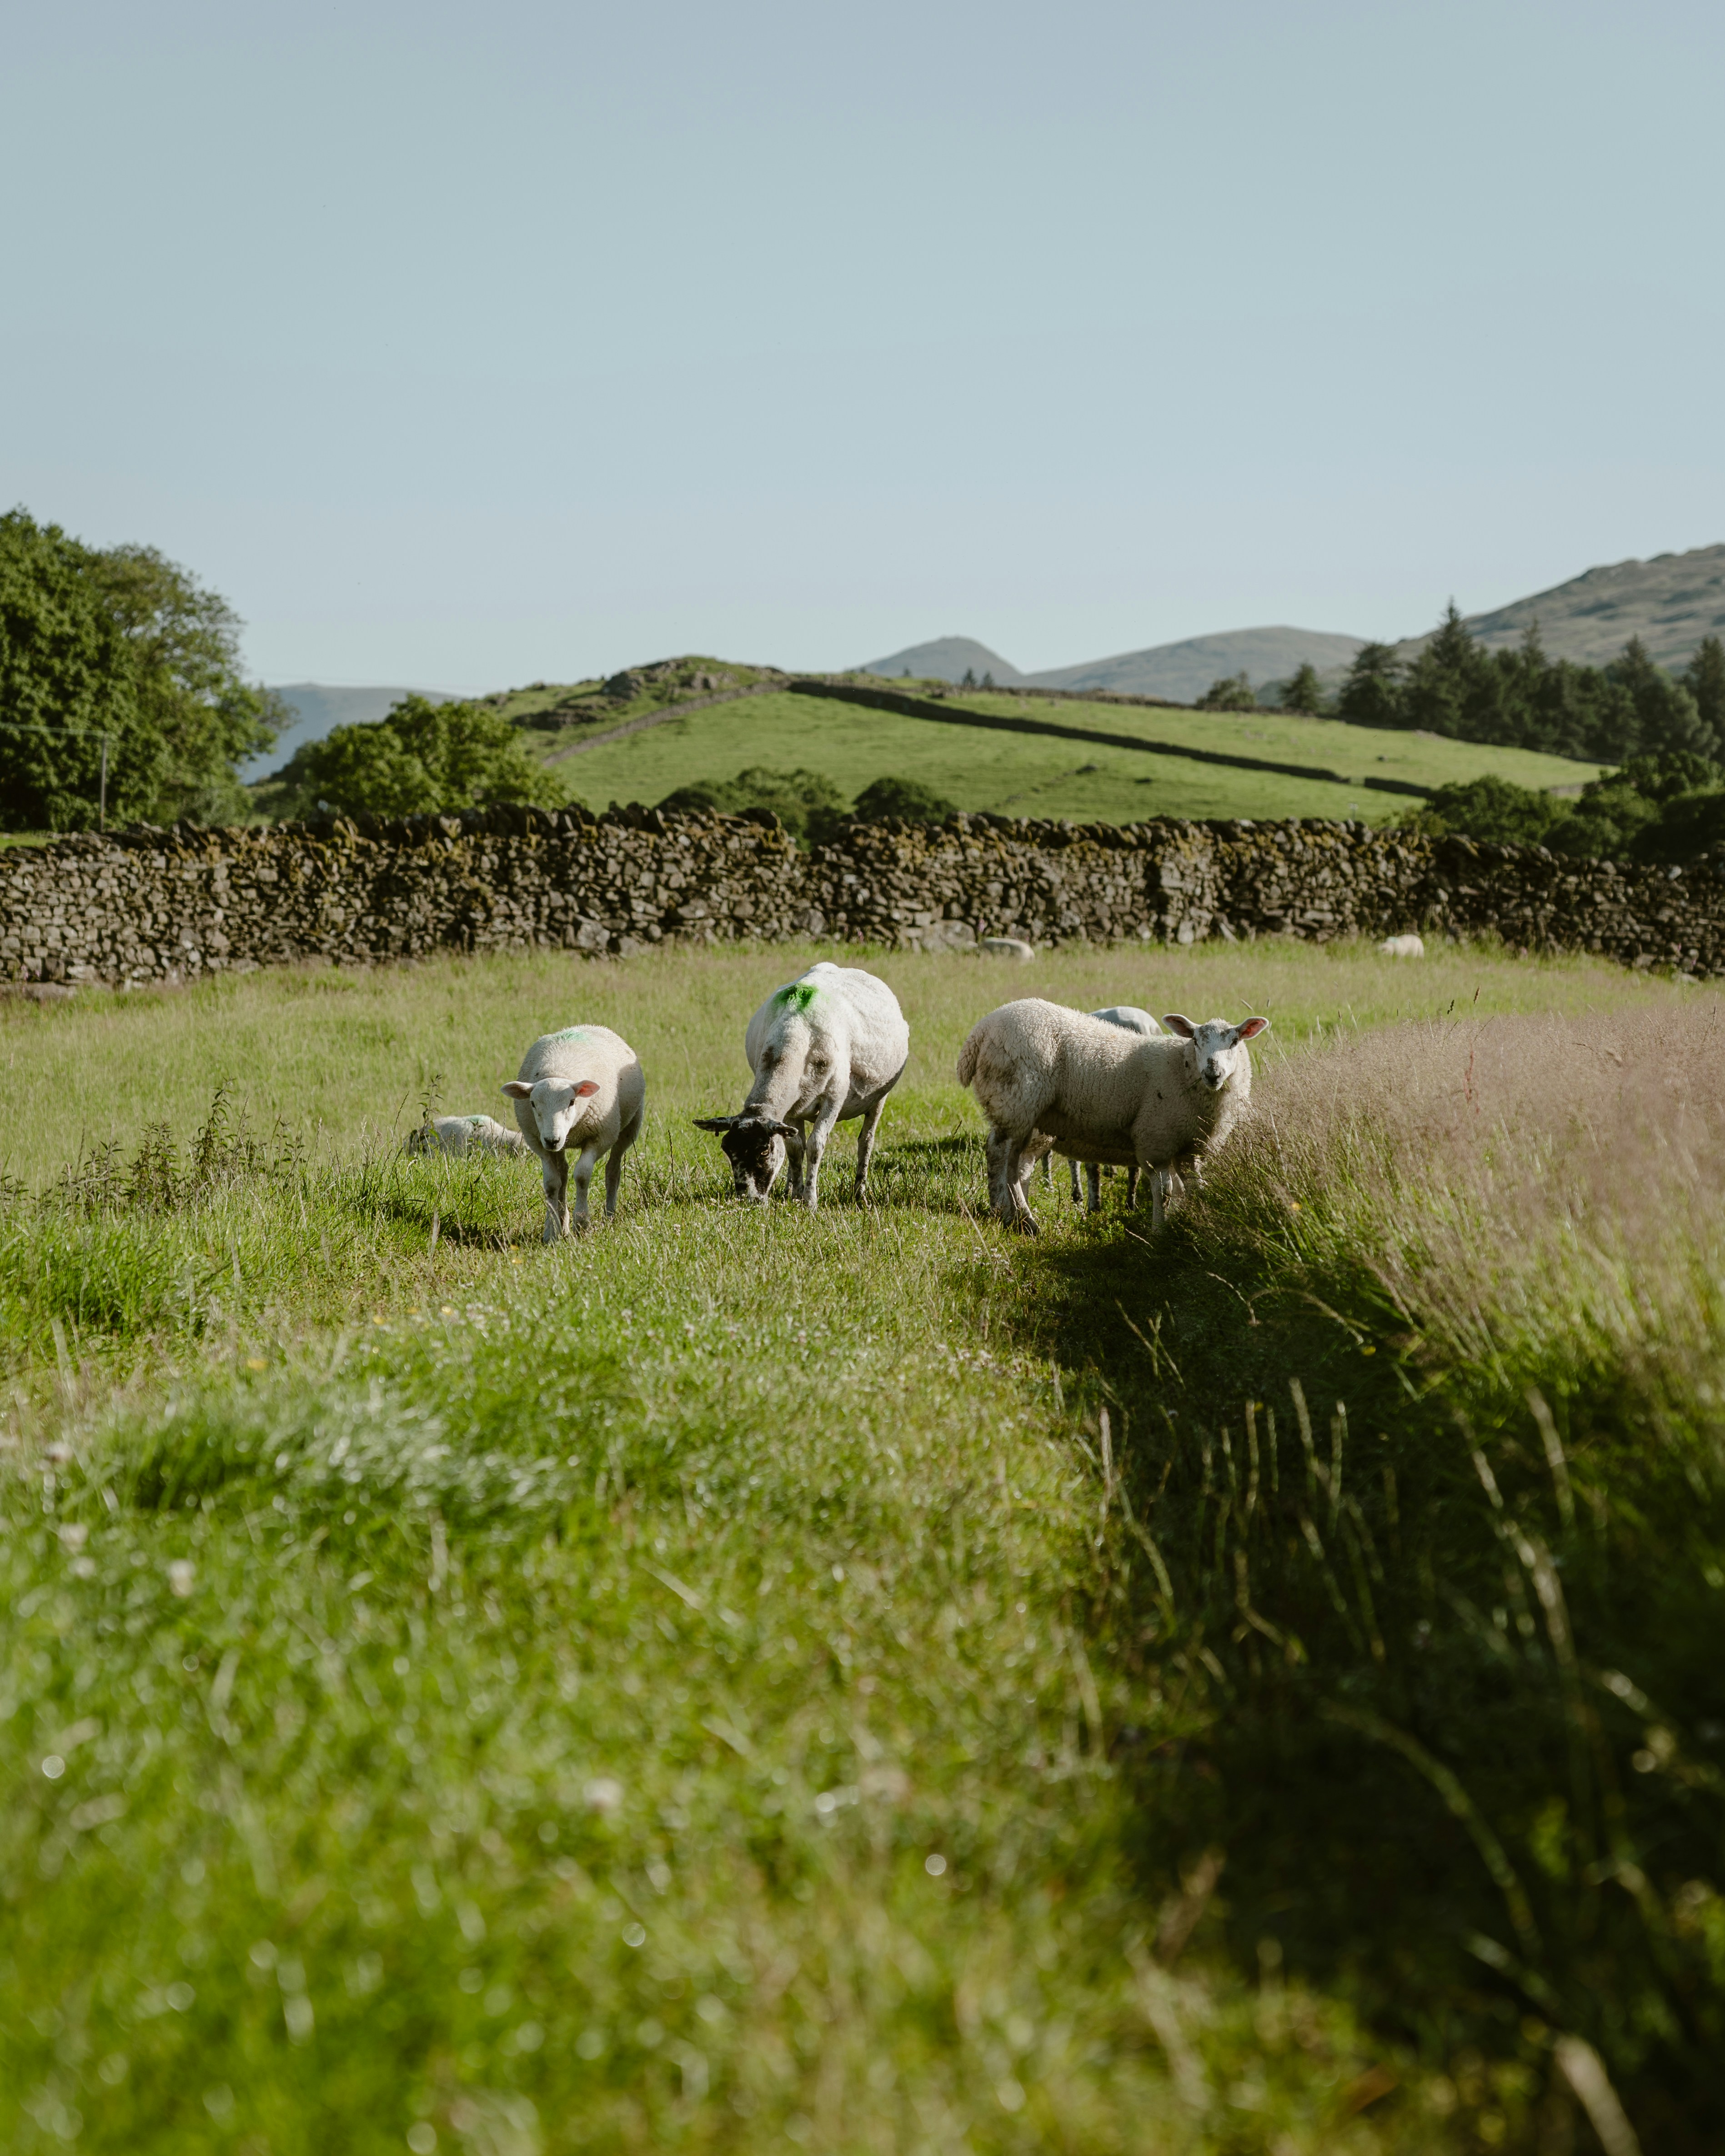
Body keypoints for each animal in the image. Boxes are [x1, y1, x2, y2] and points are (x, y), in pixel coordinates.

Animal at [500, 1024, 645, 1241]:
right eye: (533, 1104)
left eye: (572, 1102)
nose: (552, 1140)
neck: (560, 1070)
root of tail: (592, 1026)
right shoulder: (538, 1142)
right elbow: (552, 1183)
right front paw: (551, 1232)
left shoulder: (600, 1138)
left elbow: (583, 1176)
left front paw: (582, 1224)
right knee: (564, 1174)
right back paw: (563, 1223)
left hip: (629, 1128)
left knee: (613, 1170)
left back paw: (609, 1216)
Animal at [693, 961, 909, 1208]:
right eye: (726, 1149)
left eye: (764, 1151)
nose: (748, 1200)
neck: (792, 1034)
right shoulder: (788, 1109)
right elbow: (795, 1148)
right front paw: (796, 1195)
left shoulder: (834, 1098)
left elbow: (815, 1146)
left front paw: (811, 1200)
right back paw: (789, 1188)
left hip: (880, 1097)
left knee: (866, 1141)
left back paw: (860, 1195)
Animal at [956, 1000, 1268, 1235]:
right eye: (1195, 1040)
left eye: (1235, 1041)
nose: (1213, 1073)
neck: (1181, 1068)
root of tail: (981, 1029)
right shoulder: (1155, 1140)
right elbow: (1164, 1191)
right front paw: (1160, 1233)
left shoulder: (1189, 1148)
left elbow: (1193, 1190)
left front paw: (1188, 1225)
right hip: (1016, 1100)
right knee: (999, 1154)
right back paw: (1010, 1214)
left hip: (1030, 1117)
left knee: (1018, 1165)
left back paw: (1016, 1218)